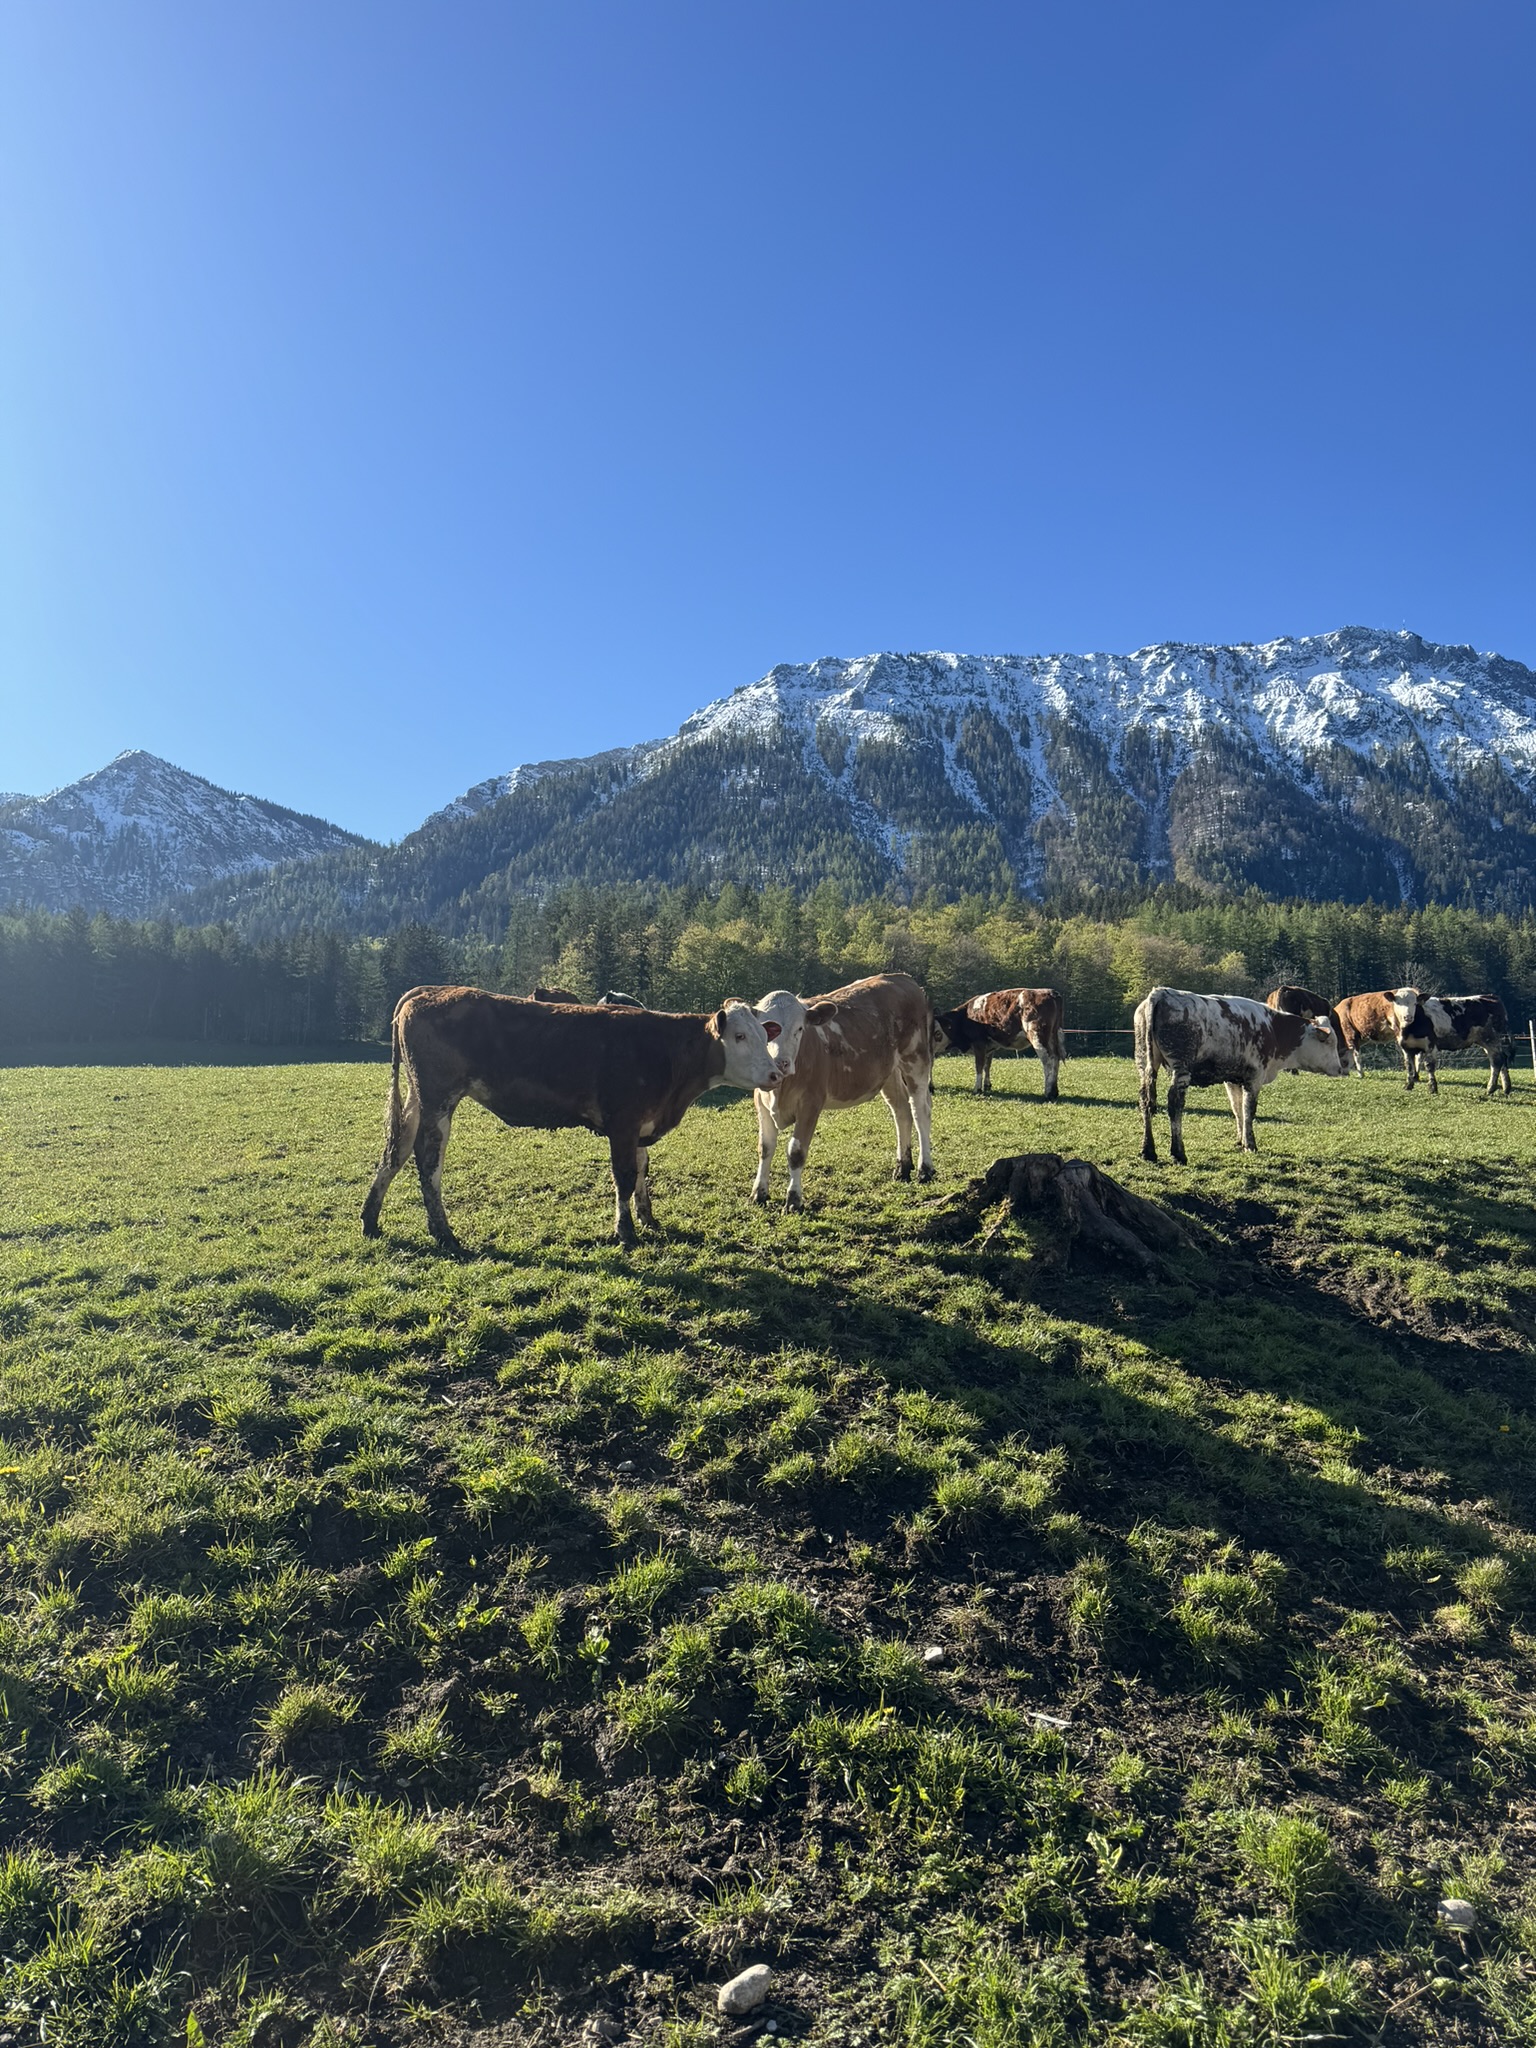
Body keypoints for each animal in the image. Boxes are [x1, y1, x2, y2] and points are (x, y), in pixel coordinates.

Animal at [362, 985, 780, 1251]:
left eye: (764, 1035)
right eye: (740, 1036)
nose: (777, 1074)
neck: (666, 1052)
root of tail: (429, 990)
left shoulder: (641, 1124)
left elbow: (642, 1170)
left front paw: (648, 1218)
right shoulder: (623, 1123)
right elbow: (624, 1176)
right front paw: (625, 1231)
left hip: (419, 1098)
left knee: (396, 1149)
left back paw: (370, 1219)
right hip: (439, 1098)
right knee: (428, 1158)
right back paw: (443, 1232)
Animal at [749, 973, 938, 1211]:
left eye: (800, 1029)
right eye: (765, 1032)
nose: (781, 1063)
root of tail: (902, 978)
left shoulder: (811, 1103)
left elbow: (796, 1152)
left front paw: (794, 1200)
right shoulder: (761, 1102)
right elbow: (764, 1148)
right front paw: (759, 1192)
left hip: (916, 1058)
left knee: (920, 1111)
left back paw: (925, 1168)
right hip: (889, 1072)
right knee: (902, 1112)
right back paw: (902, 1168)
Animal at [933, 987, 1065, 1100]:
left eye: (937, 1033)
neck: (966, 1016)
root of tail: (1050, 992)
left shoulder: (979, 1043)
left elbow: (979, 1065)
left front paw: (977, 1088)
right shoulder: (990, 1046)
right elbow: (987, 1065)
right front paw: (987, 1085)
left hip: (1037, 1035)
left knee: (1048, 1060)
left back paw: (1048, 1092)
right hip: (1052, 1037)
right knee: (1056, 1058)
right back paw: (1054, 1091)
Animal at [1135, 987, 1343, 1164]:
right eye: (1329, 1042)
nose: (1340, 1069)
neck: (1273, 1029)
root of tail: (1162, 993)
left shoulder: (1232, 1079)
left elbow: (1237, 1109)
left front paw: (1239, 1140)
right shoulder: (1254, 1078)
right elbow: (1248, 1110)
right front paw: (1250, 1144)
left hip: (1144, 1062)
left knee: (1146, 1101)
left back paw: (1148, 1151)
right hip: (1181, 1068)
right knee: (1175, 1103)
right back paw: (1178, 1153)